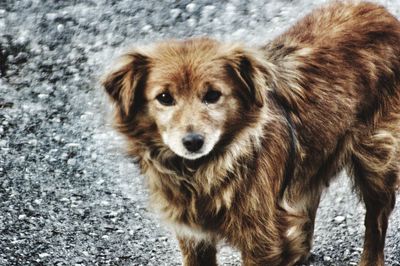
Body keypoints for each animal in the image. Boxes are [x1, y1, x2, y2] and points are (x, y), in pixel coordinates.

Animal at [102, 1, 400, 264]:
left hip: (376, 157)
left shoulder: (262, 240)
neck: (205, 171)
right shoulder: (194, 237)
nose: (193, 142)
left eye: (213, 95)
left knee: (375, 223)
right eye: (164, 98)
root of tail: (381, 12)